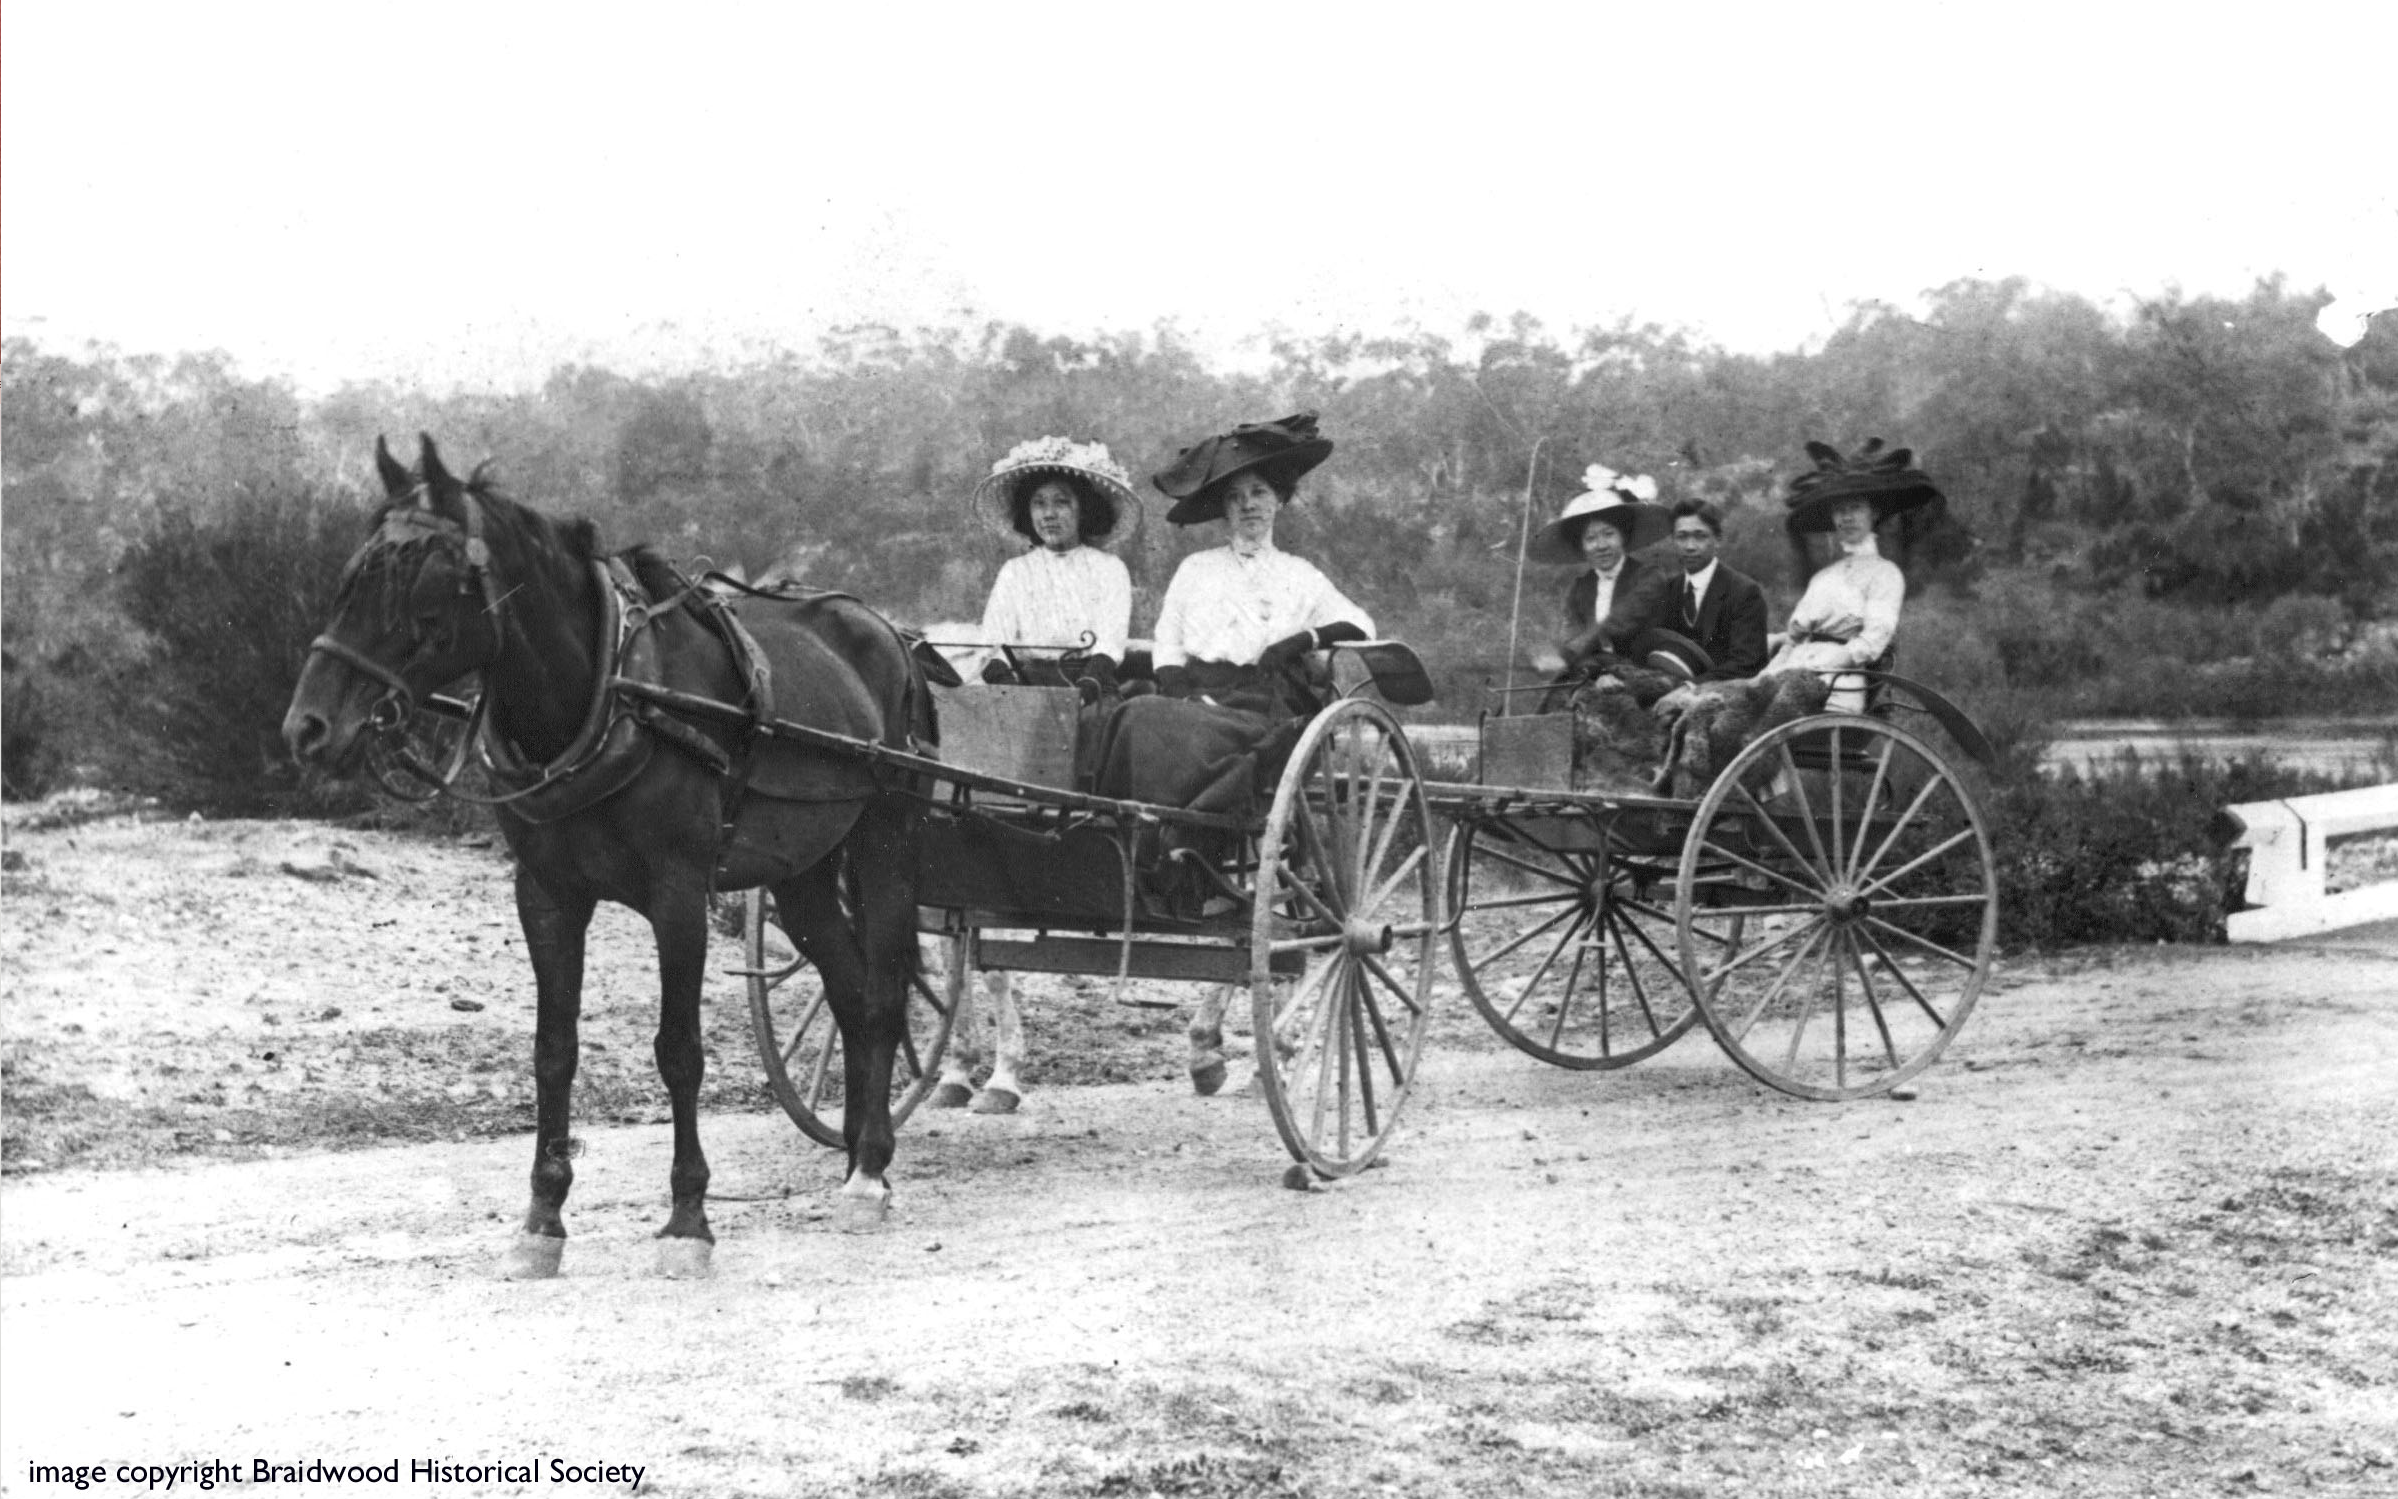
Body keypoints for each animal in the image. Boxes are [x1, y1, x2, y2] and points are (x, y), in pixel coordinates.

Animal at [282, 435, 932, 1277]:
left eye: (421, 585)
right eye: (353, 575)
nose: (308, 727)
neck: (608, 691)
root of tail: (890, 633)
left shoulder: (680, 893)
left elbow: (679, 1050)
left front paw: (688, 1219)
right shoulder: (547, 894)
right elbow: (553, 1050)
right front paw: (542, 1218)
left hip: (887, 837)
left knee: (883, 994)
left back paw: (872, 1170)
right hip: (803, 873)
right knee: (849, 994)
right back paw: (855, 1154)